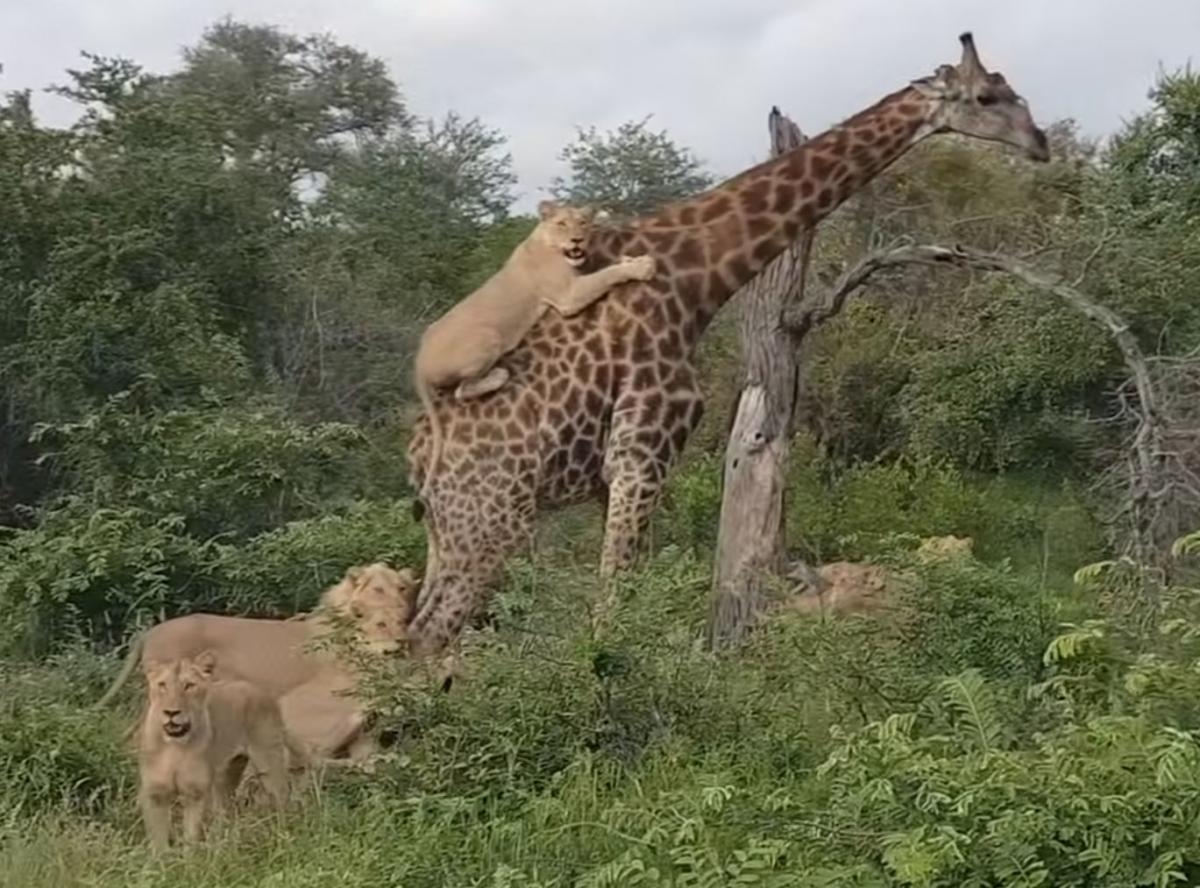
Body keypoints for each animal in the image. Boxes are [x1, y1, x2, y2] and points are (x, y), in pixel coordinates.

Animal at [137, 652, 300, 854]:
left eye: (189, 686)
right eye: (162, 685)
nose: (171, 712)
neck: (174, 747)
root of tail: (258, 689)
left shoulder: (195, 793)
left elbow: (190, 835)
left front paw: (189, 860)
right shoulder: (155, 794)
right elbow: (158, 840)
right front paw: (160, 861)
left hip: (269, 761)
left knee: (280, 798)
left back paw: (282, 839)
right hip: (225, 776)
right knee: (224, 811)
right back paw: (220, 844)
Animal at [412, 200, 657, 489]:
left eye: (583, 222)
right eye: (562, 223)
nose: (577, 239)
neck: (548, 244)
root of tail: (418, 362)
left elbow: (607, 266)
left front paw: (631, 259)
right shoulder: (568, 295)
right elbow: (606, 274)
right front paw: (643, 266)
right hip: (489, 336)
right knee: (462, 390)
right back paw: (499, 375)